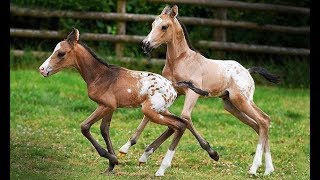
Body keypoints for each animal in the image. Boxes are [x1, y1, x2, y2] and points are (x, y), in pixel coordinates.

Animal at [38, 27, 208, 176]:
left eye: (61, 53)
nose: (42, 69)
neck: (101, 75)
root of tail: (173, 85)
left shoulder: (106, 105)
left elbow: (85, 127)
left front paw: (113, 159)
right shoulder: (110, 107)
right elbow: (104, 130)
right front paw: (111, 165)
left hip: (150, 110)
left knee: (179, 125)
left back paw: (161, 169)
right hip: (160, 110)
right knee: (179, 124)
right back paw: (147, 158)